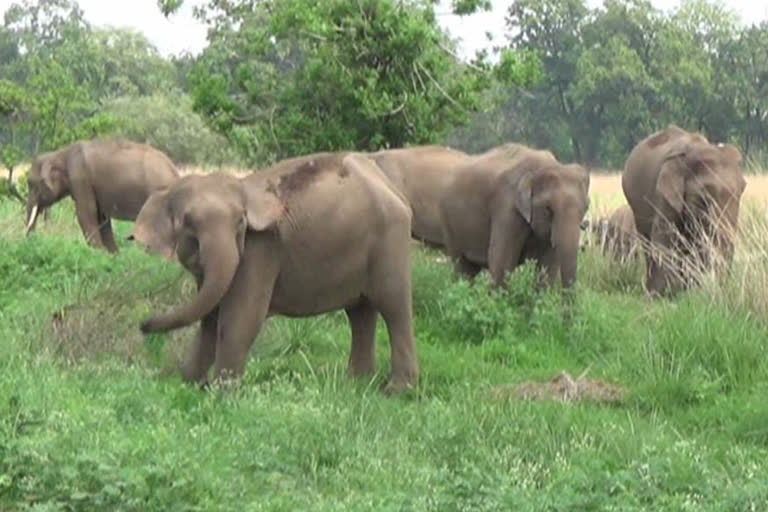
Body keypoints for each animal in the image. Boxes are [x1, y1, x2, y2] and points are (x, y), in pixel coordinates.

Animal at [24, 139, 182, 253]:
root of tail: (175, 172)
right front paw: (113, 255)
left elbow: (86, 214)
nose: (31, 241)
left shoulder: (81, 179)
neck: (60, 153)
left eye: (32, 184)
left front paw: (98, 253)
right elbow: (102, 219)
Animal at [132, 152, 420, 392]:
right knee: (360, 312)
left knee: (393, 307)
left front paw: (223, 395)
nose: (143, 325)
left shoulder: (260, 252)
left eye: (240, 222)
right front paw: (191, 386)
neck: (243, 187)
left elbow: (240, 318)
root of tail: (387, 184)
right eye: (188, 223)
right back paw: (356, 384)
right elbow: (211, 315)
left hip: (390, 241)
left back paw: (397, 391)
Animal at [438, 142, 588, 290]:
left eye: (586, 208)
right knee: (462, 266)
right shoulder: (507, 208)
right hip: (449, 222)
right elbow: (501, 261)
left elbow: (547, 266)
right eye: (548, 209)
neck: (542, 167)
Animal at [620, 122, 748, 294]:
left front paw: (690, 292)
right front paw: (660, 294)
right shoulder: (664, 194)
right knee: (647, 241)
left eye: (742, 190)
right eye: (704, 198)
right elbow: (664, 241)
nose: (722, 289)